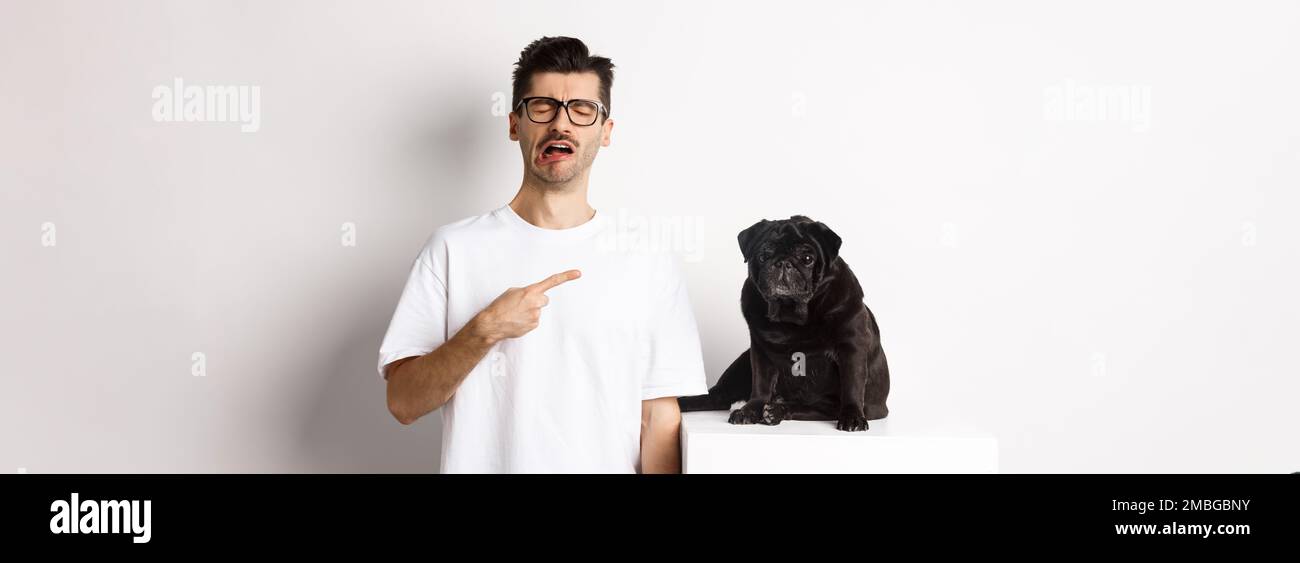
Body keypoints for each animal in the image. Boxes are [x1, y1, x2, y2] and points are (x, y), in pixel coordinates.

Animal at [681, 214, 883, 429]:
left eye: (808, 259)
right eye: (763, 256)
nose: (784, 263)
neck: (791, 314)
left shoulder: (851, 348)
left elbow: (852, 384)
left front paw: (853, 417)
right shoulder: (761, 351)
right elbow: (761, 384)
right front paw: (750, 410)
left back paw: (775, 411)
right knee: (714, 397)